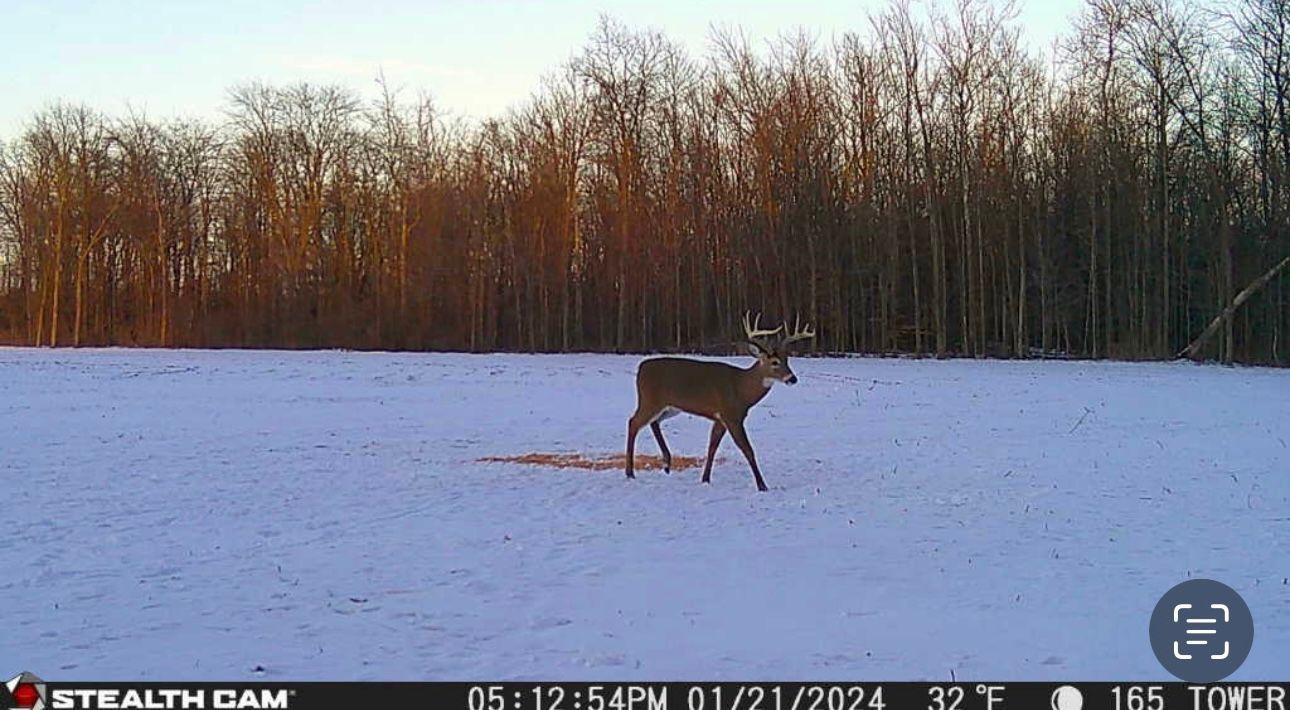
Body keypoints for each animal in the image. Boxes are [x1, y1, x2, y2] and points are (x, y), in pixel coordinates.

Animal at [625, 312, 816, 491]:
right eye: (774, 362)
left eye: (787, 360)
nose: (792, 379)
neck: (741, 389)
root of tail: (641, 368)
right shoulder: (731, 415)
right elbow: (747, 449)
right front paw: (762, 485)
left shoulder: (721, 418)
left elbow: (712, 447)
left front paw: (705, 478)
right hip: (649, 400)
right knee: (633, 422)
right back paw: (630, 472)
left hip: (670, 407)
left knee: (653, 422)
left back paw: (666, 463)